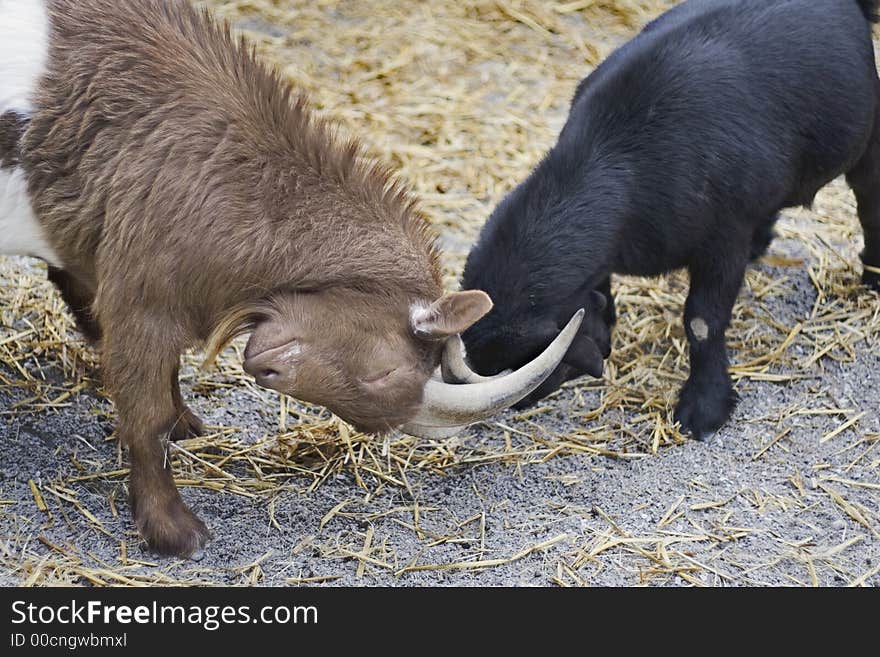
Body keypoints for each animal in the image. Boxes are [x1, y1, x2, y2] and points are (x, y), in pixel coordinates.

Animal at [460, 1, 880, 440]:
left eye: (530, 358)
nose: (517, 401)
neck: (617, 156)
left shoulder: (723, 240)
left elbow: (702, 321)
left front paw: (704, 406)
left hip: (868, 138)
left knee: (869, 202)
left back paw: (873, 275)